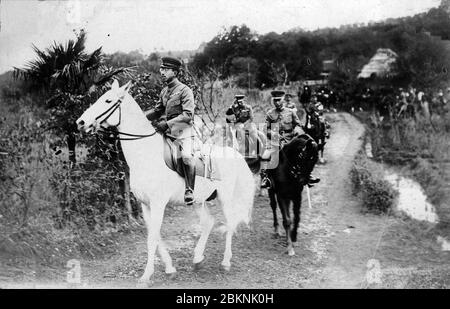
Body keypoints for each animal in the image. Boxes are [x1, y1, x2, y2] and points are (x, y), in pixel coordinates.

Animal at [75, 80, 255, 282]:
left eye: (108, 100)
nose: (80, 122)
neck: (145, 153)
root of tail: (235, 153)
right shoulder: (146, 205)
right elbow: (155, 236)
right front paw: (169, 267)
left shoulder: (158, 203)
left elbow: (153, 238)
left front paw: (146, 275)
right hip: (197, 201)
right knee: (208, 223)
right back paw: (197, 258)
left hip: (225, 198)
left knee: (230, 223)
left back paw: (225, 262)